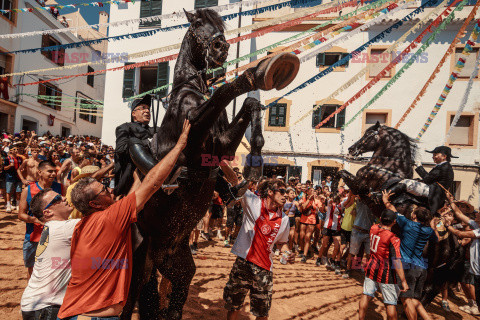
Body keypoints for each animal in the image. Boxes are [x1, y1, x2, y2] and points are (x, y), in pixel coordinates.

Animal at [121, 7, 300, 320]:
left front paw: (255, 159)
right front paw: (257, 73)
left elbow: (248, 105)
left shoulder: (221, 146)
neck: (189, 90)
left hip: (177, 266)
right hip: (139, 260)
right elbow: (221, 94)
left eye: (220, 27)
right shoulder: (194, 142)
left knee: (171, 298)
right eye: (196, 24)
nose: (221, 48)